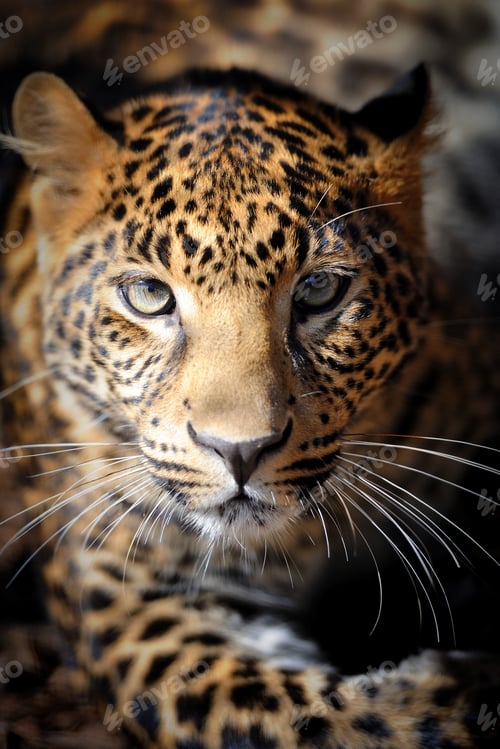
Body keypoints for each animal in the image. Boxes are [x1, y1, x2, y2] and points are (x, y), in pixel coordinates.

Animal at [1, 3, 500, 748]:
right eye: (148, 295)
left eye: (319, 289)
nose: (240, 450)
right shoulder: (131, 600)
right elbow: (311, 717)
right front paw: (463, 692)